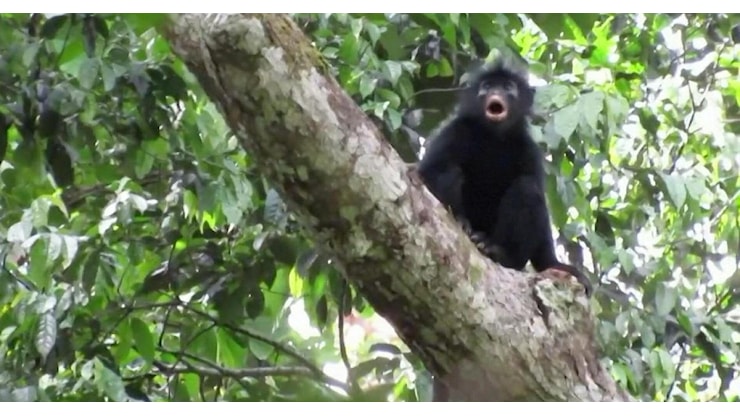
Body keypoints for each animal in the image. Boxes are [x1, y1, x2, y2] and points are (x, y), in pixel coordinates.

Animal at [417, 59, 592, 297]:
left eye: (508, 87)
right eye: (487, 87)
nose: (496, 92)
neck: (493, 137)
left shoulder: (528, 149)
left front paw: (553, 264)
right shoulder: (454, 131)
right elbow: (427, 172)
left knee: (527, 188)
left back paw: (498, 252)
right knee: (449, 171)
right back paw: (462, 222)